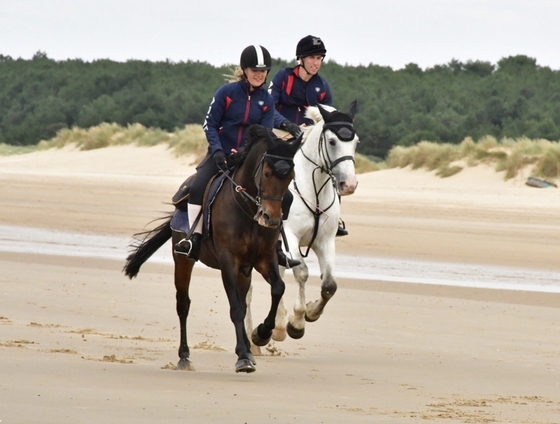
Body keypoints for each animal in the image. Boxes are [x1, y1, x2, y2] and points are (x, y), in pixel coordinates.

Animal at [123, 126, 302, 372]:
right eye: (266, 173)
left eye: (291, 177)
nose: (271, 218)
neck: (247, 209)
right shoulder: (228, 261)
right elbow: (235, 308)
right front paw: (243, 357)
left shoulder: (264, 259)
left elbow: (277, 288)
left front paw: (262, 333)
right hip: (183, 261)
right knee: (183, 304)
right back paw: (184, 356)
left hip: (245, 271)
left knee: (244, 299)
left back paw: (248, 348)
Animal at [245, 102, 358, 348]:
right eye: (332, 141)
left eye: (356, 142)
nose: (349, 184)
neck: (313, 188)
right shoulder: (290, 236)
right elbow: (302, 273)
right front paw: (297, 323)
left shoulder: (326, 241)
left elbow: (329, 285)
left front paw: (311, 312)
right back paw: (253, 337)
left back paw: (276, 327)